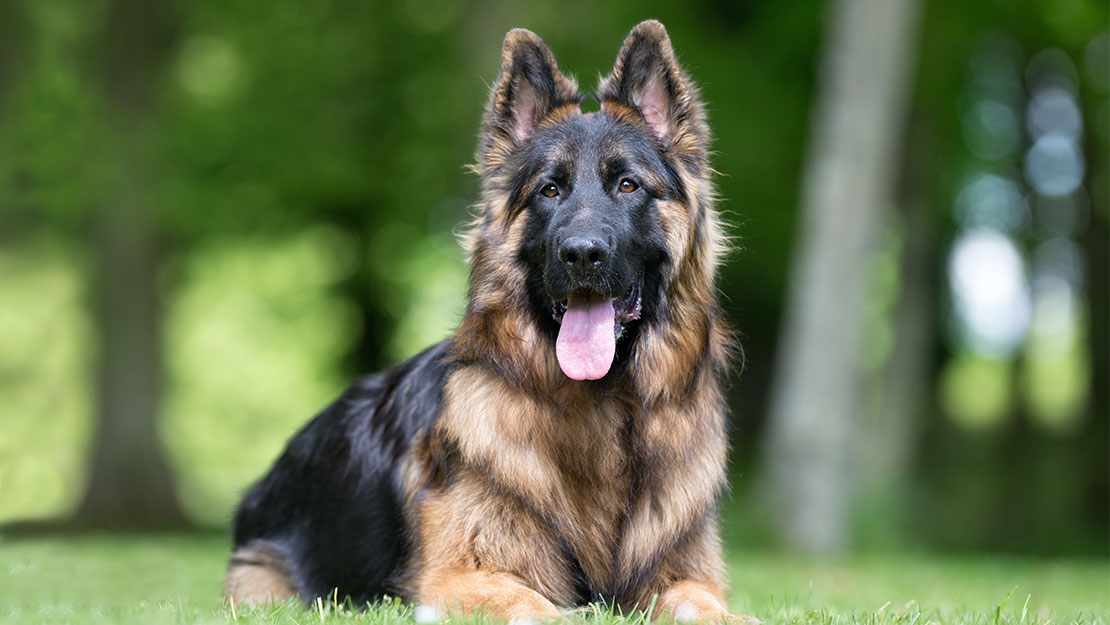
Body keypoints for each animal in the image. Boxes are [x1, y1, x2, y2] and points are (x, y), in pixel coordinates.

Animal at [226, 19, 750, 625]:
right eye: (550, 189)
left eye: (628, 185)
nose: (582, 254)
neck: (604, 407)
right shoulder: (461, 576)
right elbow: (540, 608)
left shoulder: (686, 576)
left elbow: (710, 607)